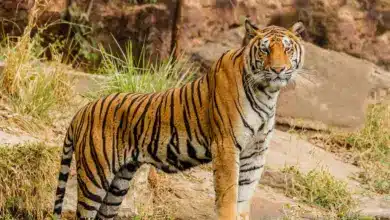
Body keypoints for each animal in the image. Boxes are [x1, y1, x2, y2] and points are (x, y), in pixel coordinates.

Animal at [53, 19, 306, 220]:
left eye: (287, 49)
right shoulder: (226, 145)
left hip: (119, 182)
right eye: (265, 50)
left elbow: (244, 197)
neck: (267, 93)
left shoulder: (256, 152)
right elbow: (228, 196)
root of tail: (82, 110)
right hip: (95, 177)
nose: (278, 69)